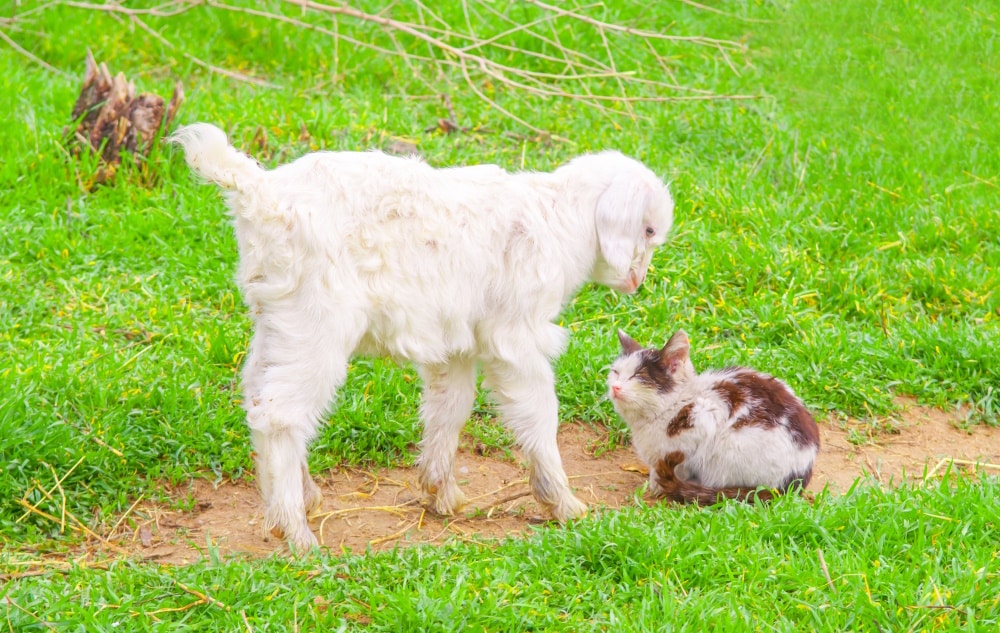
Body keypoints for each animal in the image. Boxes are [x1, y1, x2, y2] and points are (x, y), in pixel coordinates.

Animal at [608, 330, 820, 504]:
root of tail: (793, 483)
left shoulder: (705, 415)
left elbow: (678, 463)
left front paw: (660, 485)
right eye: (616, 372)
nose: (615, 387)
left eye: (638, 376)